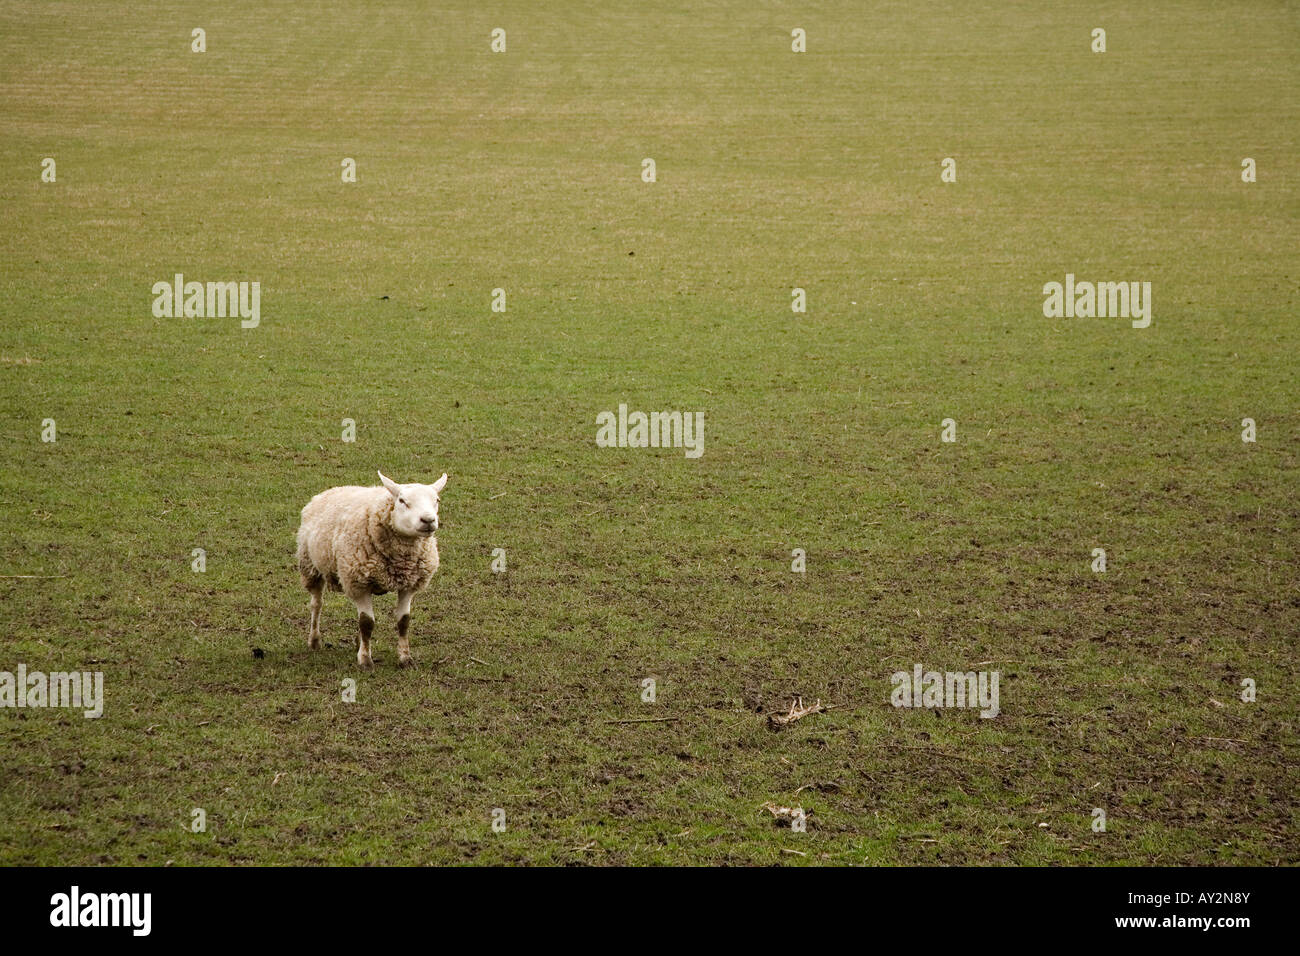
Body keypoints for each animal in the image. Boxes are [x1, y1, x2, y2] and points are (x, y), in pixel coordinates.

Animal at [296, 468, 447, 665]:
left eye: (436, 500)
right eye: (402, 501)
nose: (428, 520)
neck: (402, 560)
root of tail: (335, 489)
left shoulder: (408, 585)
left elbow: (403, 622)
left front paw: (405, 658)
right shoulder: (359, 583)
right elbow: (367, 623)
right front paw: (365, 660)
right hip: (310, 566)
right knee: (316, 604)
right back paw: (314, 641)